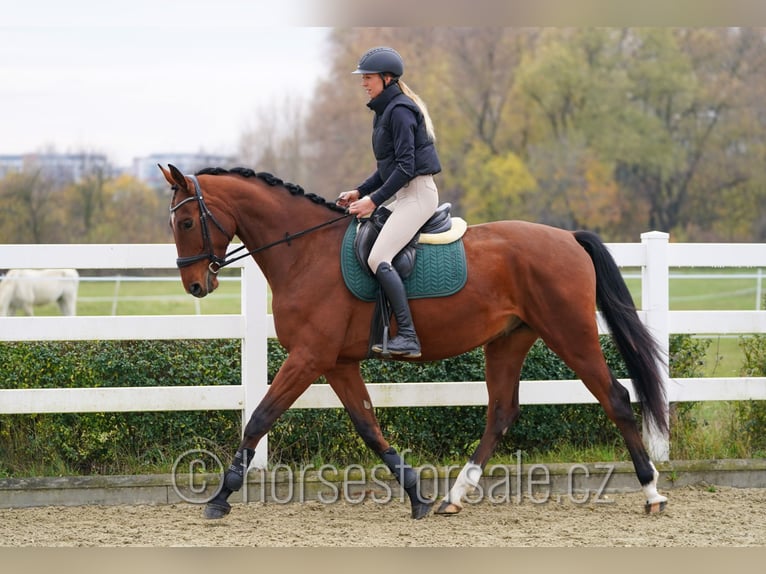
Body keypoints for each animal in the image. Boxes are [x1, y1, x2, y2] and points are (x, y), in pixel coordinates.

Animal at [160, 164, 669, 520]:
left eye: (184, 223)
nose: (195, 286)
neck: (304, 252)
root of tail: (568, 237)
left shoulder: (308, 357)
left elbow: (259, 418)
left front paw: (220, 497)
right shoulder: (336, 362)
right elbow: (369, 427)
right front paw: (415, 494)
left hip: (570, 333)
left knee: (615, 397)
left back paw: (651, 491)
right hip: (508, 341)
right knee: (501, 413)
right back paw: (453, 496)